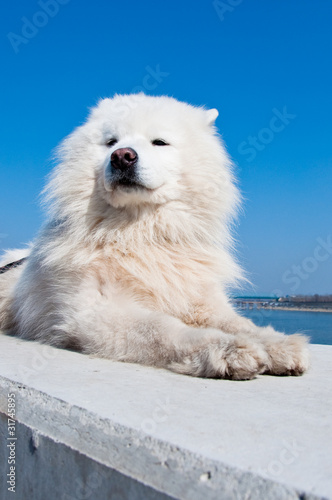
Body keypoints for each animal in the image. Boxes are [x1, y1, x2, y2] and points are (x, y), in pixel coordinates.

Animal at [0, 94, 308, 378]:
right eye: (111, 142)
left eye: (159, 142)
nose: (122, 156)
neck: (141, 235)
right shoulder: (95, 311)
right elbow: (163, 329)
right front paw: (228, 349)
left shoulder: (199, 300)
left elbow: (240, 323)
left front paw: (277, 344)